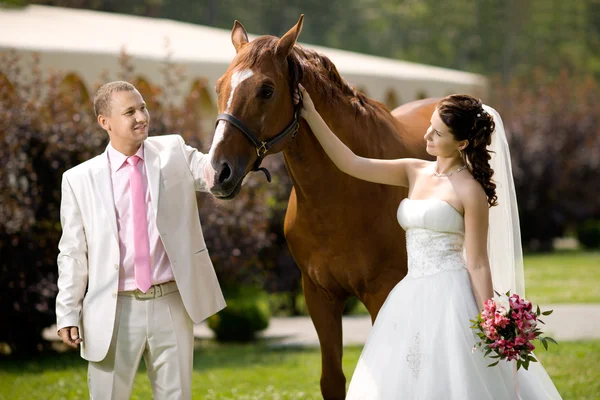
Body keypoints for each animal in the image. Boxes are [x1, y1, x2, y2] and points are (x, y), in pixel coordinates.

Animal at [206, 15, 436, 400]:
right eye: (219, 86)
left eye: (266, 90)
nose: (217, 172)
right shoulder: (319, 295)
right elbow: (332, 380)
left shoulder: (381, 293)